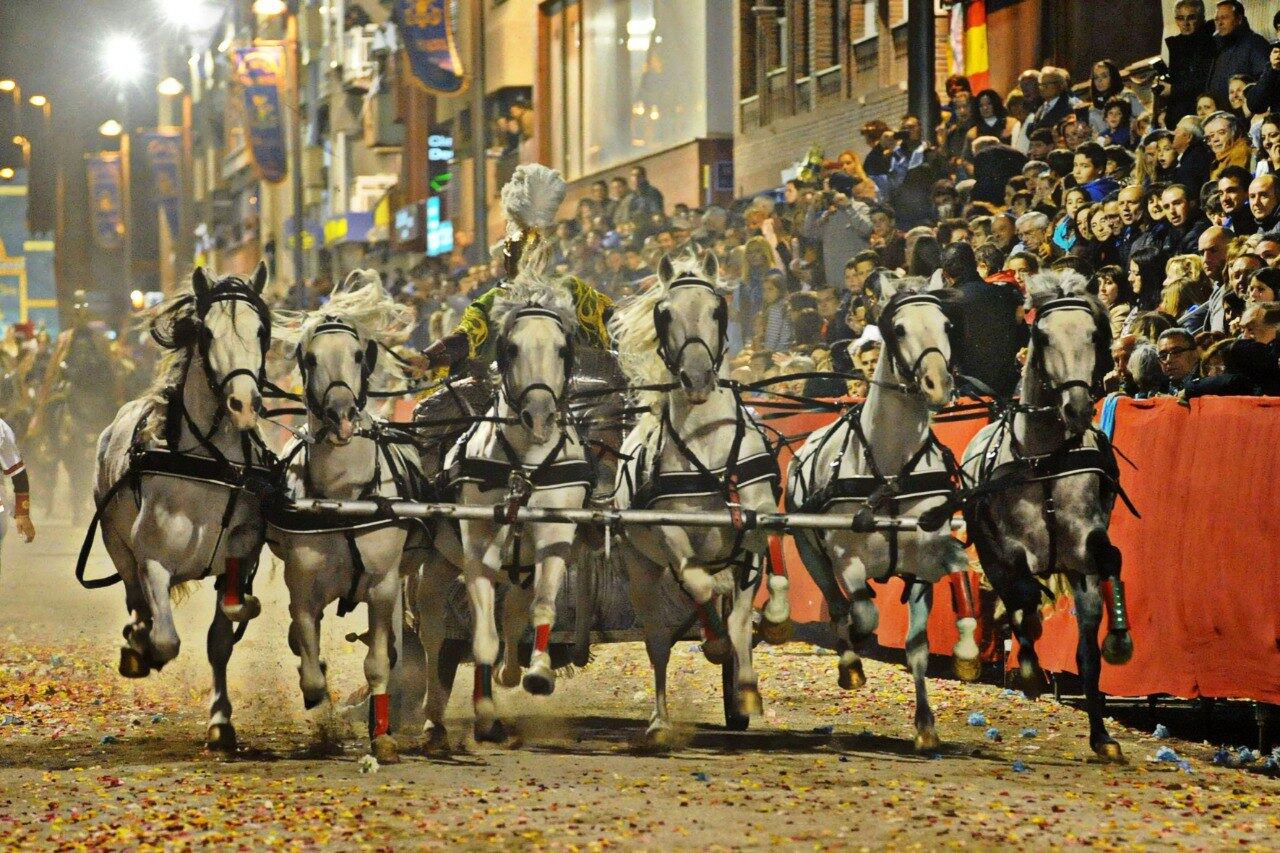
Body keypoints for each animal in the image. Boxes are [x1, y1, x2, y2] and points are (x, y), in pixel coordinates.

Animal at [94, 262, 275, 747]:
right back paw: (136, 642)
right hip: (116, 543)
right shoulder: (154, 560)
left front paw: (221, 721)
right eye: (207, 333)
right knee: (135, 596)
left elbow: (221, 636)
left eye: (261, 329)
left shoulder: (240, 552)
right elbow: (166, 639)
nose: (244, 403)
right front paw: (145, 648)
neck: (207, 464)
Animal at [267, 268, 422, 758]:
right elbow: (311, 662)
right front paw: (318, 697)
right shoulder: (302, 583)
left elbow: (379, 661)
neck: (344, 498)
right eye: (311, 358)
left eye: (357, 355)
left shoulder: (384, 582)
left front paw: (382, 734)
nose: (340, 416)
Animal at [414, 257, 588, 737]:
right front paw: (484, 708)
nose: (540, 415)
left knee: (512, 610)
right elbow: (481, 636)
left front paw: (538, 672)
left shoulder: (554, 536)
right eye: (510, 349)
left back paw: (510, 672)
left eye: (562, 349)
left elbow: (541, 607)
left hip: (518, 568)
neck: (522, 466)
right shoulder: (478, 546)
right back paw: (435, 716)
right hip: (437, 563)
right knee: (435, 630)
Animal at [606, 249, 783, 742]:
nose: (698, 377)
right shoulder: (672, 538)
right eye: (664, 313)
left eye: (718, 309)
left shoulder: (754, 528)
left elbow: (742, 616)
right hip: (641, 570)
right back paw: (660, 720)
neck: (708, 449)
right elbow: (700, 587)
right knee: (659, 640)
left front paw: (746, 687)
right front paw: (718, 642)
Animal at [788, 281, 967, 747]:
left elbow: (917, 647)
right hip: (809, 549)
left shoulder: (923, 562)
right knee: (837, 603)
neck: (890, 469)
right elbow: (864, 613)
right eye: (899, 329)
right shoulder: (846, 558)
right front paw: (855, 654)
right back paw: (850, 662)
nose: (938, 384)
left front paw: (925, 725)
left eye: (947, 325)